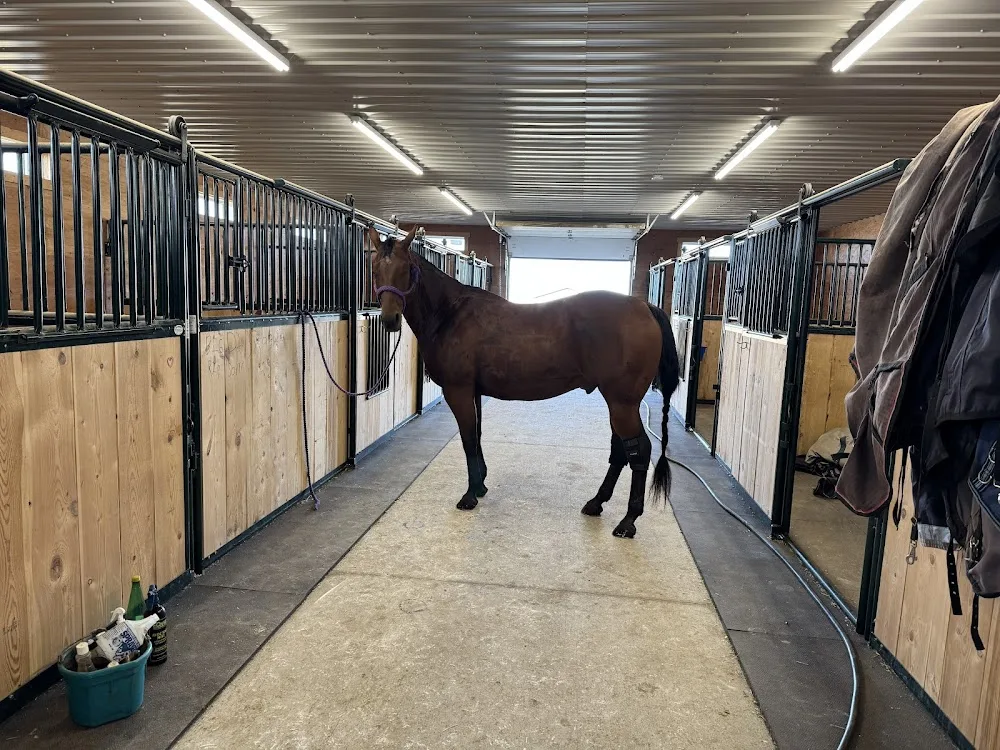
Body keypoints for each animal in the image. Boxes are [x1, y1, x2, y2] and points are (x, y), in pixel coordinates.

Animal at [369, 225, 680, 538]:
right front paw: (480, 485)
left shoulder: (457, 391)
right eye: (374, 268)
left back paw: (628, 521)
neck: (449, 314)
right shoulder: (474, 392)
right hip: (618, 403)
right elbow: (477, 436)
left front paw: (469, 496)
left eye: (406, 268)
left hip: (622, 403)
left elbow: (468, 440)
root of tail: (644, 306)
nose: (389, 320)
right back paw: (596, 503)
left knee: (639, 451)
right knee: (620, 450)